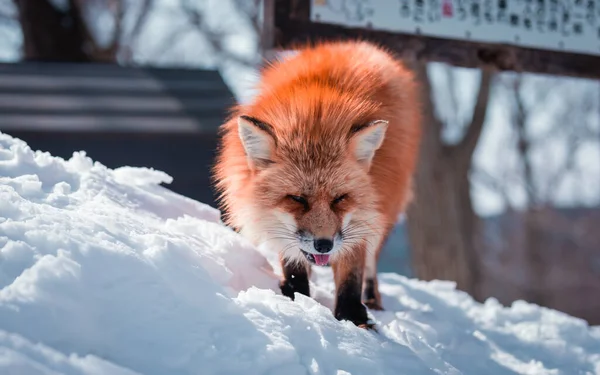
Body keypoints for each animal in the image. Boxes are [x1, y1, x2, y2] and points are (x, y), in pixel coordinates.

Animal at [213, 40, 420, 328]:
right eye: (297, 199)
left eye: (340, 199)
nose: (324, 245)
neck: (315, 113)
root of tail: (353, 43)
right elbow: (294, 267)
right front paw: (295, 297)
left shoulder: (363, 216)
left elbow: (351, 274)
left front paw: (352, 318)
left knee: (371, 265)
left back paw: (372, 300)